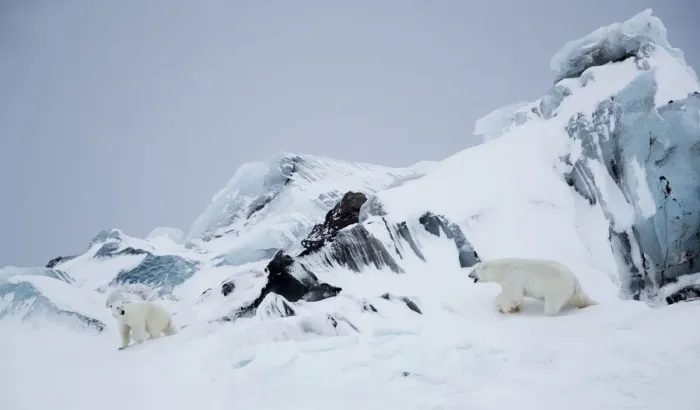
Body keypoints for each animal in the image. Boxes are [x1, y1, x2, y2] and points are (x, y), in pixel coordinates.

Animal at [468, 257, 598, 316]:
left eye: (474, 270)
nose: (468, 275)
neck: (503, 269)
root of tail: (573, 278)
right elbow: (516, 297)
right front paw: (516, 308)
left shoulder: (513, 278)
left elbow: (512, 295)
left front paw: (502, 307)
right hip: (572, 290)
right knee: (579, 298)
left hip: (556, 289)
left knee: (551, 306)